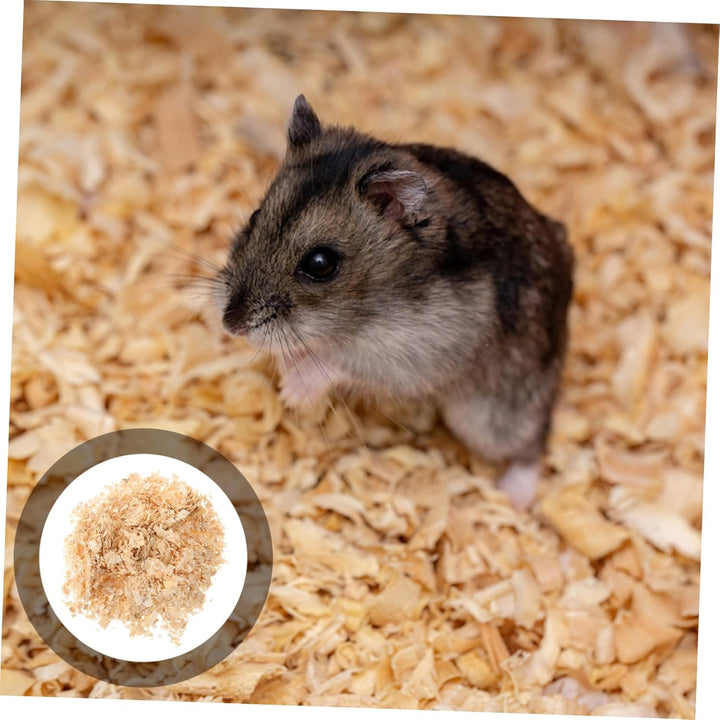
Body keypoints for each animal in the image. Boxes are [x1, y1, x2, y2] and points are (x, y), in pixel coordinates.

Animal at [218, 95, 574, 509]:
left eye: (320, 263)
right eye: (255, 216)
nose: (230, 325)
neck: (376, 303)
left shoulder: (416, 350)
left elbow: (339, 361)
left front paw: (292, 391)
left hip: (495, 412)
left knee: (532, 440)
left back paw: (513, 498)